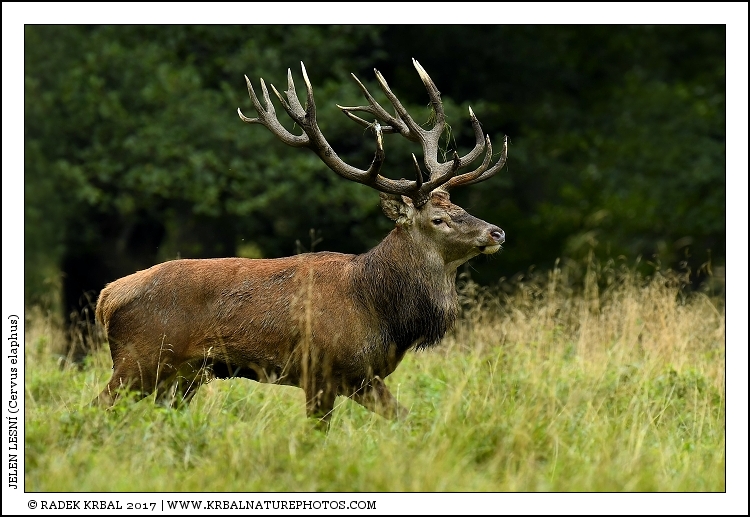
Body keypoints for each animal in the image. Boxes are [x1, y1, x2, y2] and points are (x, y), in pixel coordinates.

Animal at [94, 59, 507, 427]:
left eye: (461, 207)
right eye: (438, 219)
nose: (496, 232)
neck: (380, 309)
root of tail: (107, 297)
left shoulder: (362, 376)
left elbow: (407, 420)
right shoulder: (321, 369)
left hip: (186, 373)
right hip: (140, 358)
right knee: (100, 407)